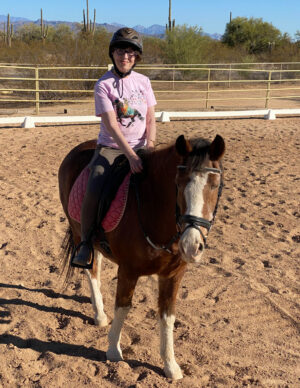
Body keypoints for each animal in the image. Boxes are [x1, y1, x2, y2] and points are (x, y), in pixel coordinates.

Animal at [58, 133, 225, 378]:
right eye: (178, 183)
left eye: (214, 185)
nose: (192, 245)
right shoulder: (128, 271)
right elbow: (123, 307)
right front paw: (113, 350)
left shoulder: (173, 275)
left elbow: (167, 315)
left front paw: (170, 365)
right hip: (79, 231)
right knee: (91, 269)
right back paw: (99, 314)